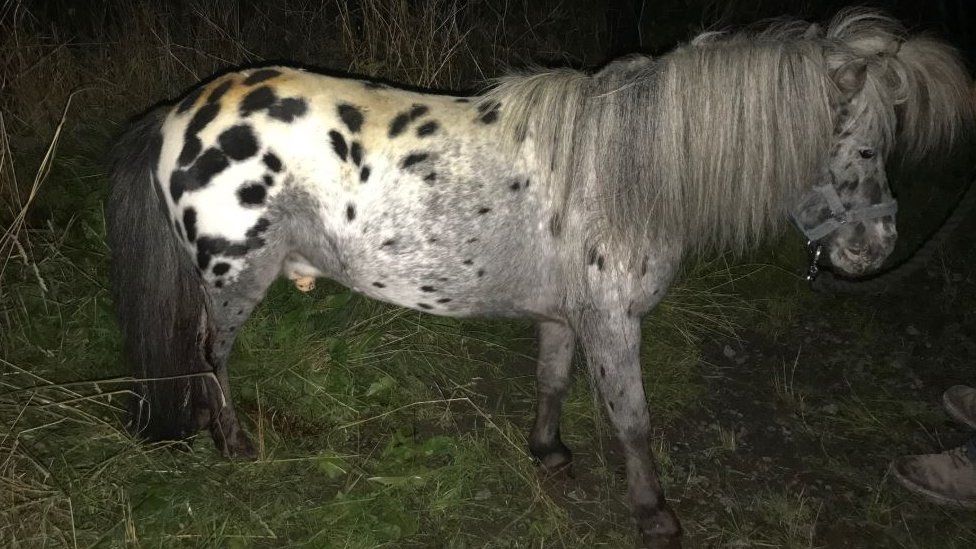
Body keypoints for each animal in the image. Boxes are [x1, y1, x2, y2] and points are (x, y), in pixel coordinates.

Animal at [107, 9, 973, 547]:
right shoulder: (614, 321)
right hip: (235, 278)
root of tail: (182, 112)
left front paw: (548, 451)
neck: (628, 170)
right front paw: (655, 515)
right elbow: (632, 418)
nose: (874, 250)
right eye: (867, 147)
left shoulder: (567, 315)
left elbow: (553, 377)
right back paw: (233, 443)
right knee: (210, 356)